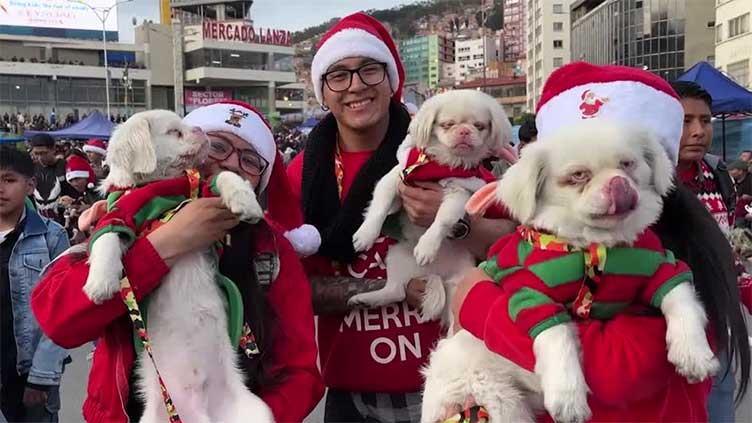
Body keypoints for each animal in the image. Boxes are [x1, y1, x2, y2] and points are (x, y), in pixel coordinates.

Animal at [81, 110, 274, 423]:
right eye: (174, 132)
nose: (200, 130)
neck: (159, 188)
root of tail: (200, 413)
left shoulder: (202, 188)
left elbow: (225, 175)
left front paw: (247, 202)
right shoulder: (119, 216)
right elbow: (105, 238)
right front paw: (100, 283)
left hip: (257, 412)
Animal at [350, 91, 516, 326]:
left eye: (479, 126)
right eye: (447, 125)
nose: (464, 131)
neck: (443, 165)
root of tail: (438, 274)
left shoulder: (457, 193)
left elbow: (442, 220)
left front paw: (427, 247)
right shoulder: (396, 180)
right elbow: (379, 207)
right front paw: (365, 235)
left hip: (461, 284)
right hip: (397, 254)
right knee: (397, 291)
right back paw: (364, 300)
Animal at [420, 63, 720, 423]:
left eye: (628, 164)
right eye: (578, 176)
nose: (619, 184)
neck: (592, 246)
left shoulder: (662, 267)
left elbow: (682, 299)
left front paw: (694, 353)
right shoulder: (531, 295)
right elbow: (557, 334)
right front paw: (568, 397)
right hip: (499, 399)